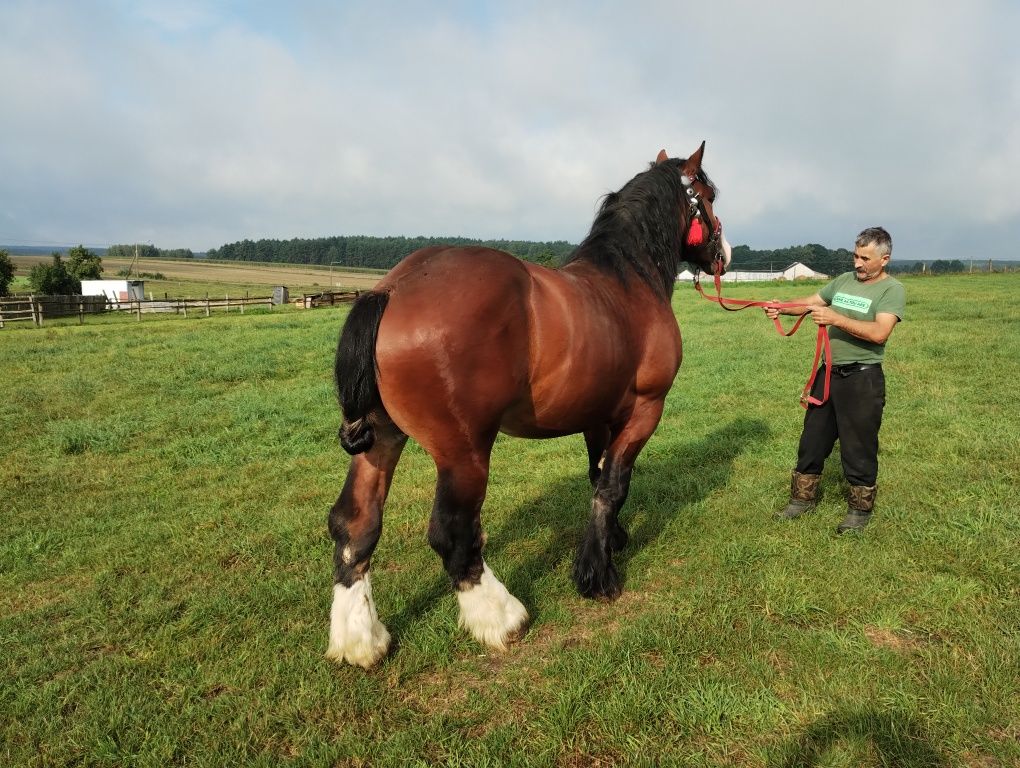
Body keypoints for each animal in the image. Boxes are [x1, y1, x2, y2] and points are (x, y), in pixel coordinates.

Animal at [330, 142, 730, 664]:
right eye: (710, 196)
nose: (723, 254)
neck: (627, 281)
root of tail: (392, 288)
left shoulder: (597, 415)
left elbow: (598, 476)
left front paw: (612, 541)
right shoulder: (646, 409)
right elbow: (613, 485)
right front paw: (596, 574)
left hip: (383, 439)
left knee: (354, 524)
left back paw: (359, 639)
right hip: (463, 453)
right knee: (452, 533)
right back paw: (500, 617)